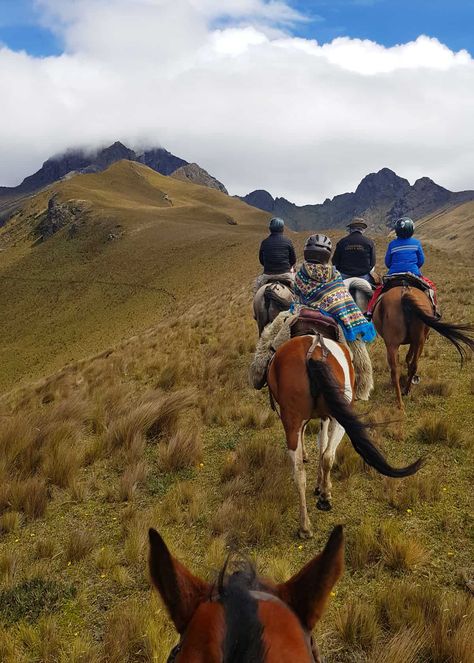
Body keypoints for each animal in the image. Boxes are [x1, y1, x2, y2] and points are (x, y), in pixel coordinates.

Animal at [266, 332, 422, 540]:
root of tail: (312, 354)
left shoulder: (317, 418)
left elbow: (320, 444)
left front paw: (318, 484)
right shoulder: (328, 417)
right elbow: (323, 448)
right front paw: (322, 488)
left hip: (293, 422)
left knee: (300, 472)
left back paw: (305, 527)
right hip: (339, 418)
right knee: (328, 456)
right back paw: (325, 498)